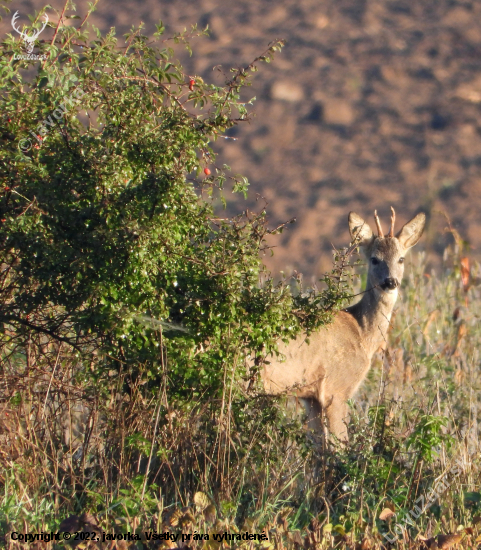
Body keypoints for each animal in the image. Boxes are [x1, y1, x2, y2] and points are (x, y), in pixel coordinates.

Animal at [262, 208, 424, 444]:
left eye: (401, 258)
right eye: (374, 259)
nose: (390, 282)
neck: (361, 332)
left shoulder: (311, 397)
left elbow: (319, 447)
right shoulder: (337, 389)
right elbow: (341, 445)